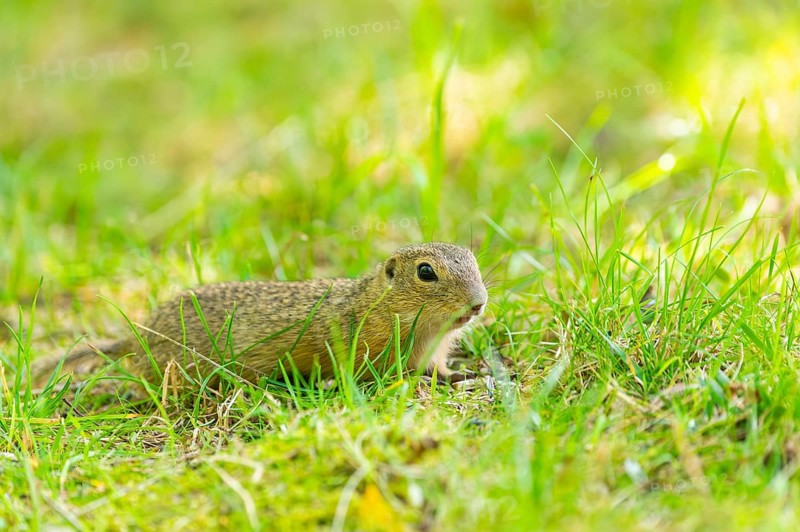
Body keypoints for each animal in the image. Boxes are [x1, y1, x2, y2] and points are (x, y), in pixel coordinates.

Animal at [32, 242, 488, 390]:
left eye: (473, 259)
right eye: (426, 272)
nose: (479, 303)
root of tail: (136, 336)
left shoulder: (432, 352)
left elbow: (439, 368)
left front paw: (464, 374)